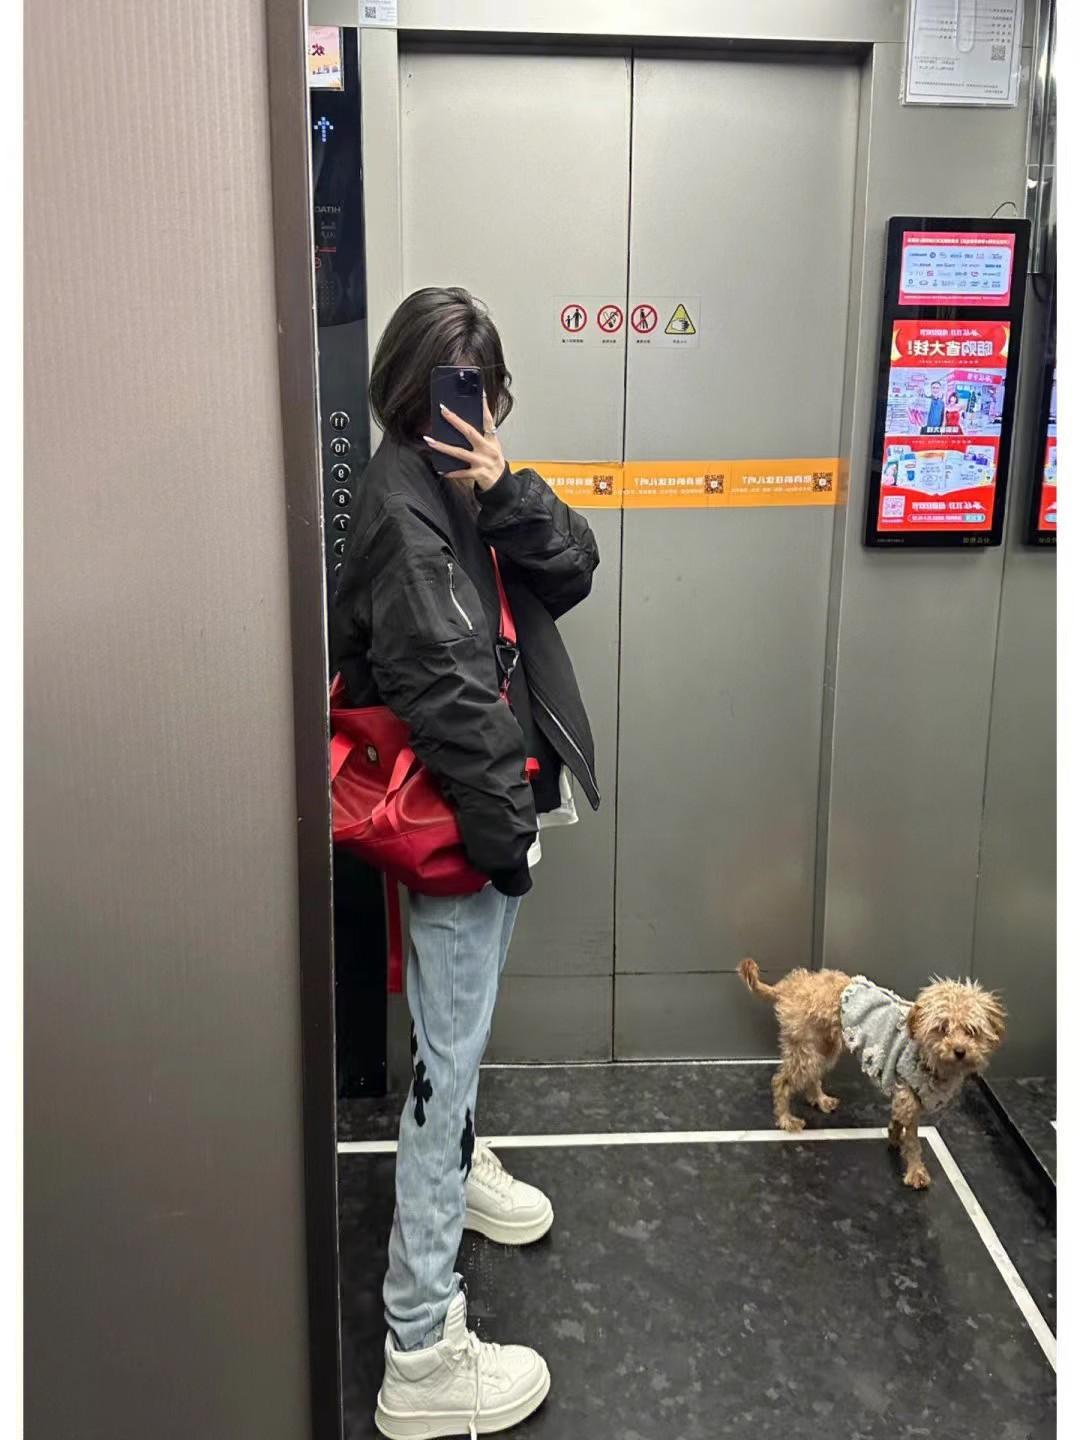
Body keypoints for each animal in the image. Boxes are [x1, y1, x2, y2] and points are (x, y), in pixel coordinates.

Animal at [737, 960, 1006, 1189]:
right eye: (942, 1028)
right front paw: (915, 1171)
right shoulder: (909, 1096)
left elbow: (898, 1122)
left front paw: (894, 1137)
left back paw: (820, 1100)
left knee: (811, 1076)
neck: (926, 1055)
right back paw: (786, 1119)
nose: (959, 1051)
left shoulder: (903, 1095)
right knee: (781, 1081)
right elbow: (913, 1141)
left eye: (972, 1031)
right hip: (806, 1049)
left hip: (823, 1047)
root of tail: (792, 985)